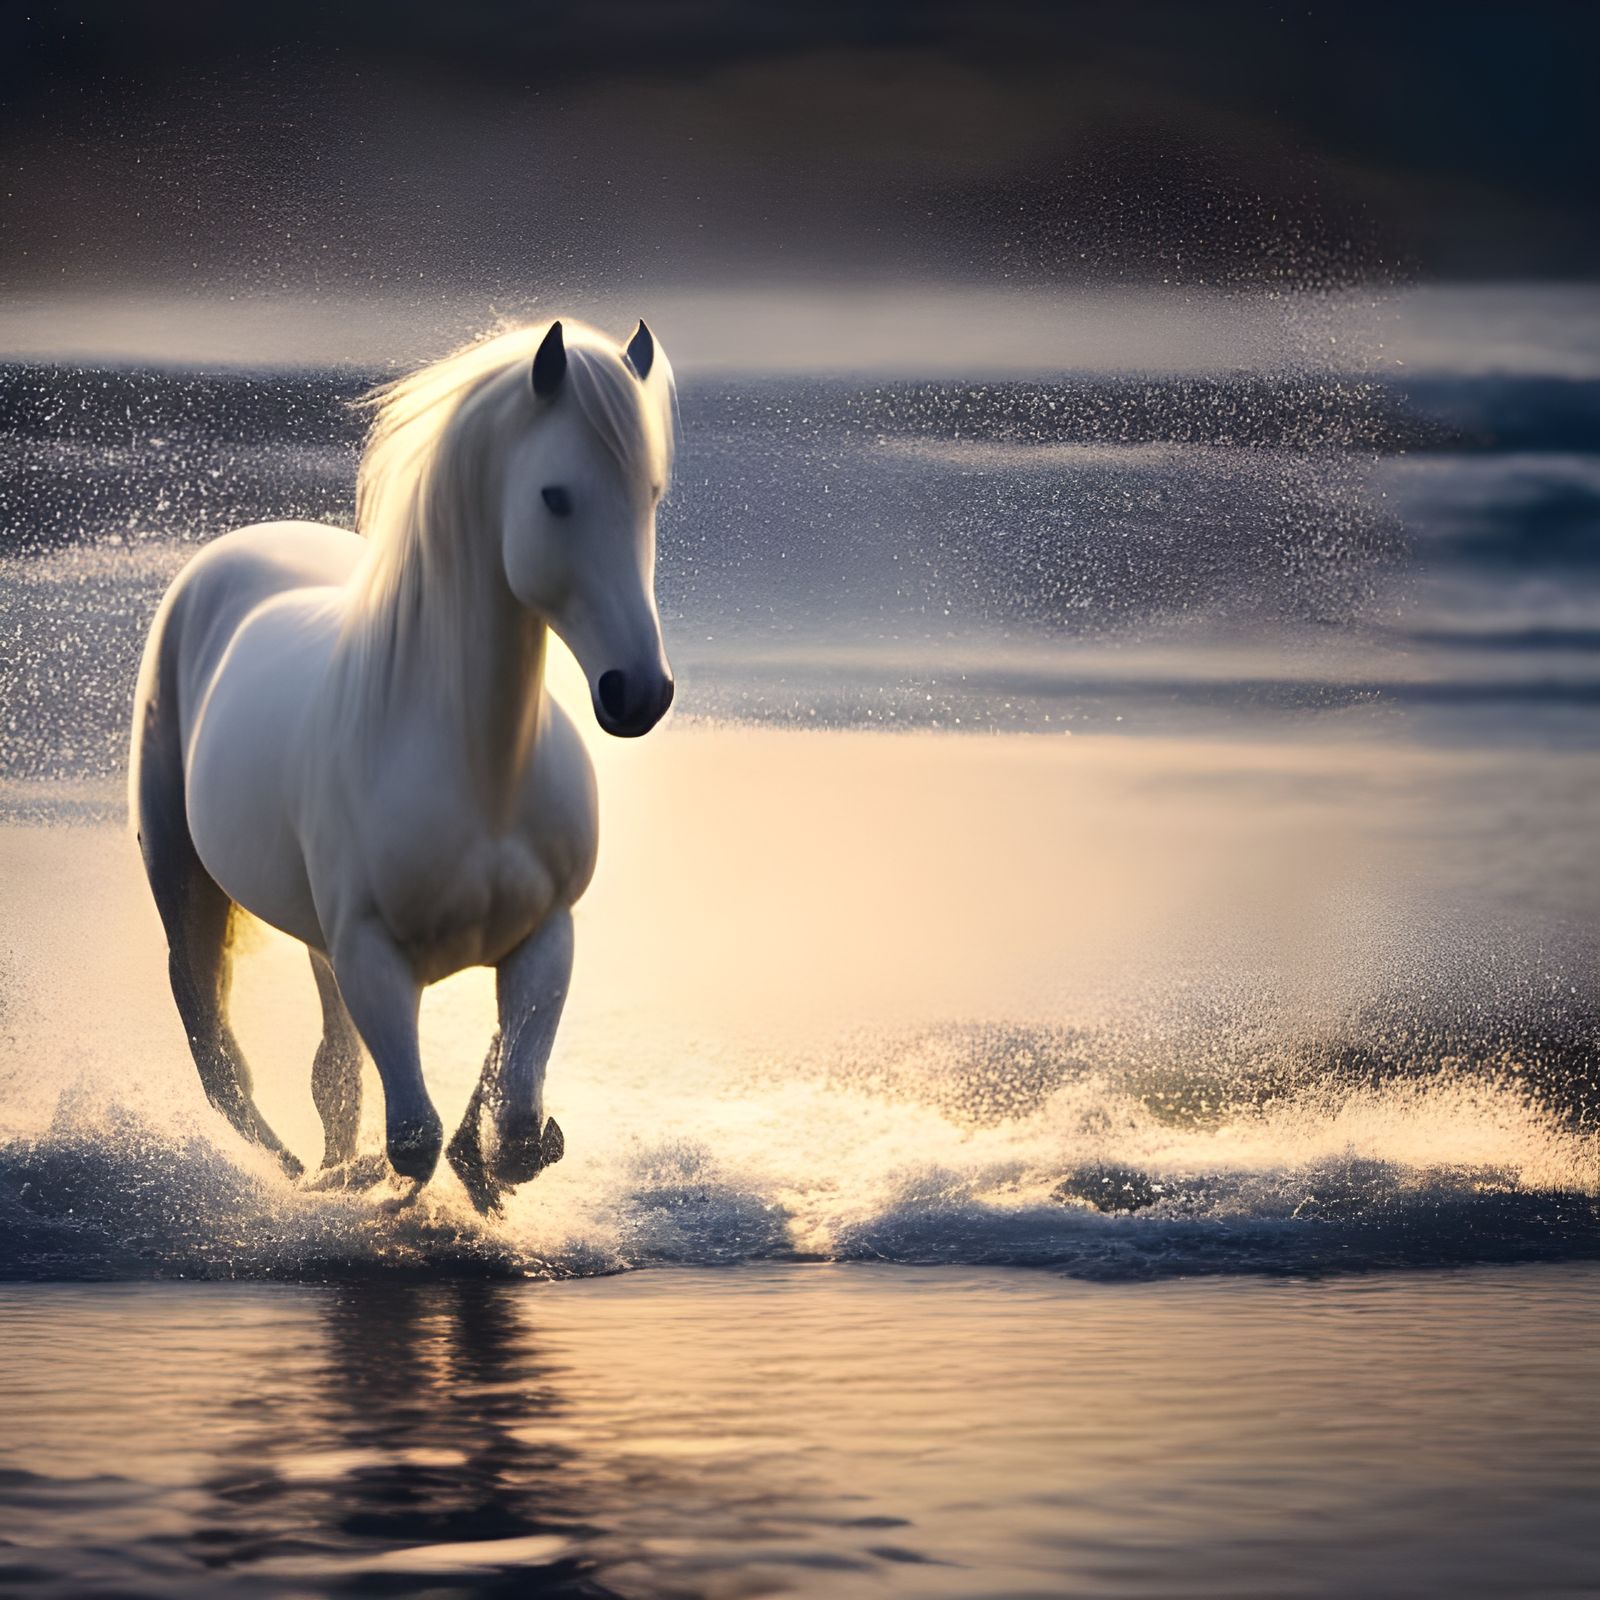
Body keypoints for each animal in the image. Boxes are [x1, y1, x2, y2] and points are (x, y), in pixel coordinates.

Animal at [128, 317, 676, 1212]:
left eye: (652, 493)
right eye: (556, 496)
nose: (639, 692)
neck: (480, 774)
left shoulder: (546, 938)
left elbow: (514, 1123)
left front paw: (485, 1169)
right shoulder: (374, 959)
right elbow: (413, 1138)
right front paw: (375, 1193)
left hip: (316, 941)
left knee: (332, 1074)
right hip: (184, 883)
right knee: (218, 1057)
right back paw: (299, 1174)